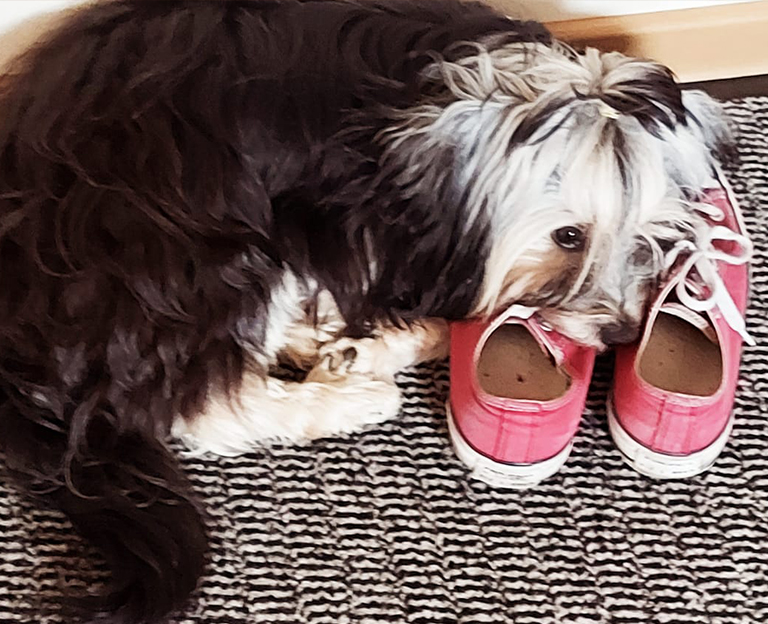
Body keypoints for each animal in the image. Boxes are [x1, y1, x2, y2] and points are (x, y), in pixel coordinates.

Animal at [0, 0, 732, 622]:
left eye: (651, 235)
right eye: (570, 236)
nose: (622, 330)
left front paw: (352, 340)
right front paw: (376, 345)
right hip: (208, 244)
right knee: (199, 404)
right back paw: (351, 395)